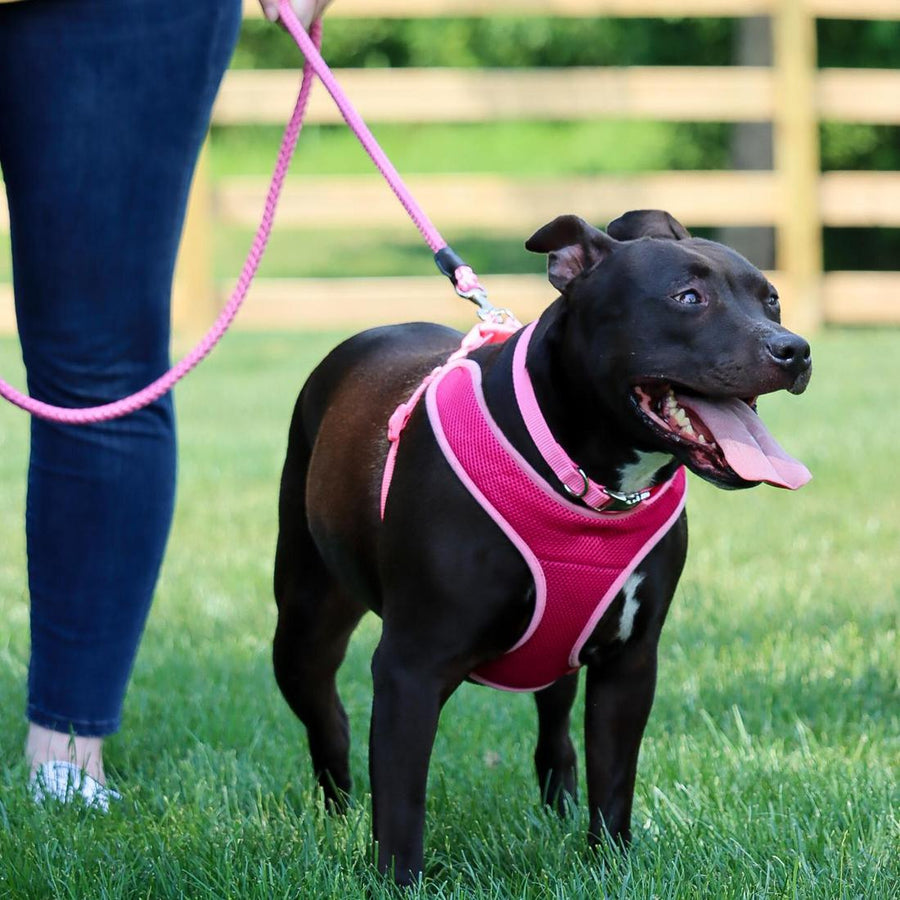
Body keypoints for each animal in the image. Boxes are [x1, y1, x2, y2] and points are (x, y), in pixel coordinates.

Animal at [270, 209, 812, 880]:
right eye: (688, 298)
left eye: (773, 300)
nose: (794, 349)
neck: (581, 476)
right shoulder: (411, 668)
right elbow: (401, 802)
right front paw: (398, 881)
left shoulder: (629, 663)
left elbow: (614, 780)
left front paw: (611, 869)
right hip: (303, 627)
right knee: (328, 718)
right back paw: (337, 814)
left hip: (560, 653)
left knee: (556, 732)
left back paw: (556, 809)